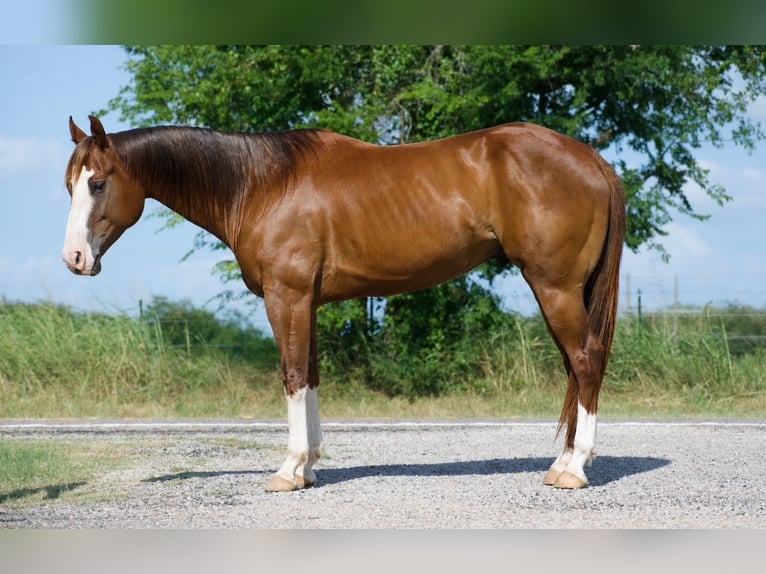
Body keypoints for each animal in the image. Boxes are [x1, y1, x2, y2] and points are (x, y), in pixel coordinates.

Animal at [63, 115, 625, 491]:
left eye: (98, 182)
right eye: (70, 185)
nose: (74, 258)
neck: (263, 185)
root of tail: (592, 159)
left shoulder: (286, 298)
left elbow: (291, 376)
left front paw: (288, 471)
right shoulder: (307, 303)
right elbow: (310, 377)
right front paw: (309, 466)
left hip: (554, 287)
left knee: (585, 360)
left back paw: (575, 470)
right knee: (575, 368)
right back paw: (562, 463)